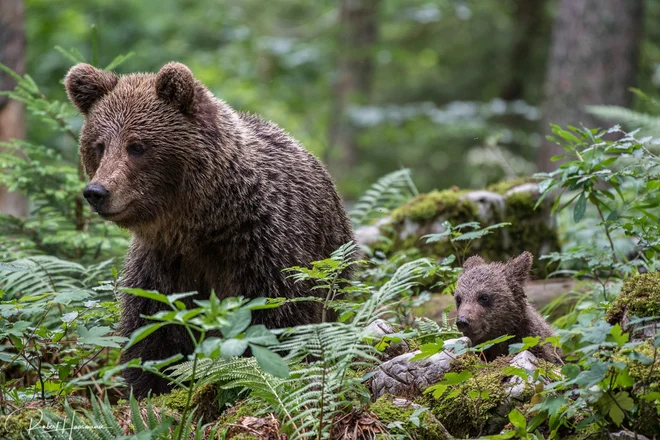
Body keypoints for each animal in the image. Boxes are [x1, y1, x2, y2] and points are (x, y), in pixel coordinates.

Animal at [65, 62, 356, 398]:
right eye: (98, 146)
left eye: (136, 146)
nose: (97, 192)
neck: (204, 224)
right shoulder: (163, 266)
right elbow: (153, 334)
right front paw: (146, 386)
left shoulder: (266, 249)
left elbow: (274, 324)